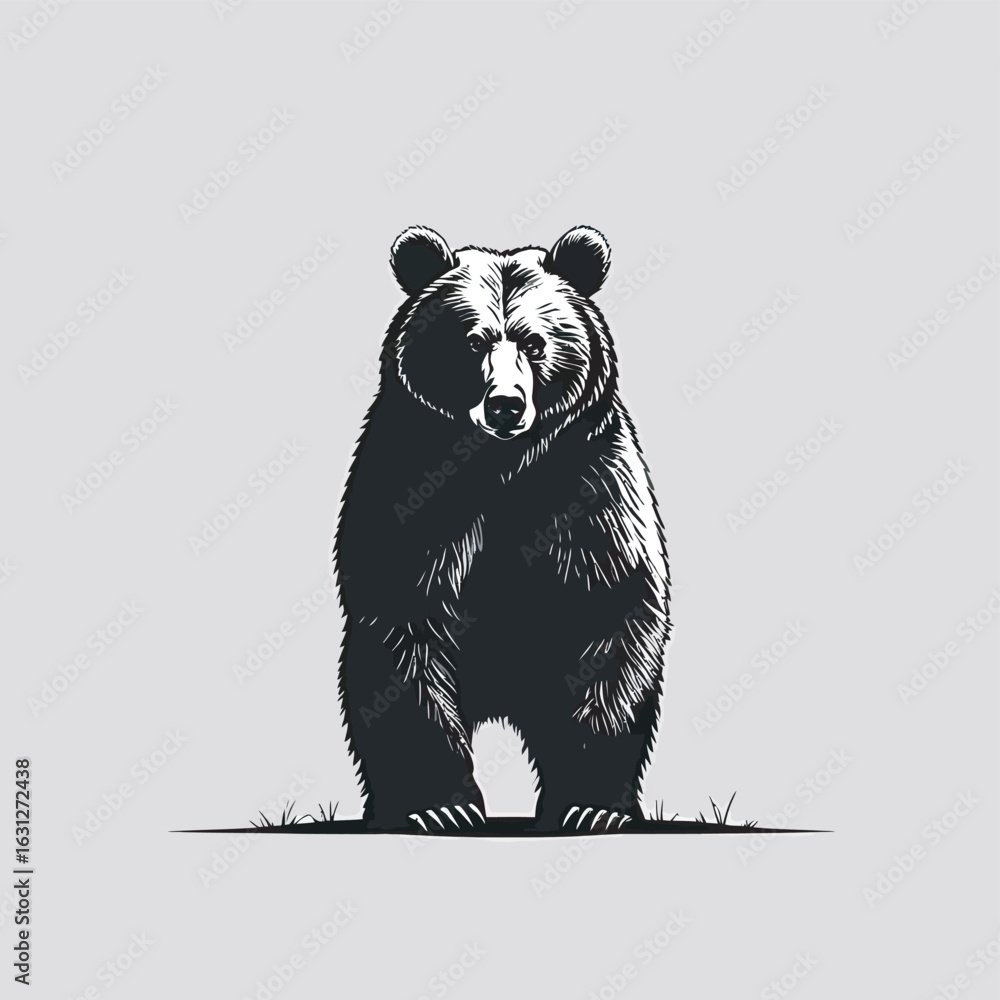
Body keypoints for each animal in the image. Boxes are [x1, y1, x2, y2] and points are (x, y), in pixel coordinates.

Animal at [334, 225, 670, 833]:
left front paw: (589, 805)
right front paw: (439, 806)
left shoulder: (592, 493)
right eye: (473, 341)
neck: (502, 469)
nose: (506, 406)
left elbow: (614, 618)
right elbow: (403, 633)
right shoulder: (411, 495)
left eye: (535, 342)